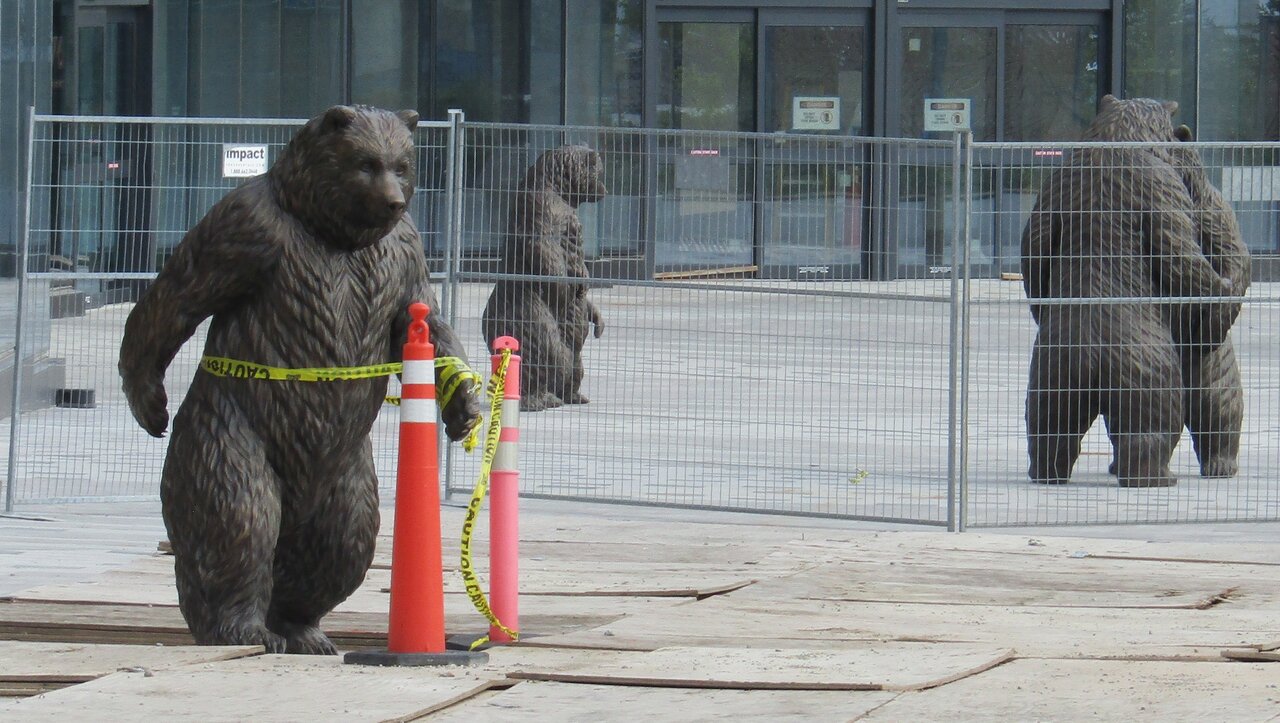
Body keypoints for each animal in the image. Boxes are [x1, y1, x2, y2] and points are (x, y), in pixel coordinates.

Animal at [118, 105, 482, 655]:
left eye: (401, 165)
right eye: (365, 162)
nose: (394, 201)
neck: (334, 232)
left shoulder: (403, 249)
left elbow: (420, 319)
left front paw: (464, 408)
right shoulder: (250, 229)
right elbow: (178, 295)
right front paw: (147, 401)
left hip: (345, 472)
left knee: (343, 538)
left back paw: (301, 628)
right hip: (231, 431)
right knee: (240, 518)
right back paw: (238, 627)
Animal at [481, 144, 607, 411]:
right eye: (598, 171)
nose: (604, 188)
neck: (559, 189)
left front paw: (596, 315)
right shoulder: (543, 207)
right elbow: (544, 250)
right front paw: (570, 288)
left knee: (574, 365)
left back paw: (571, 395)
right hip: (527, 316)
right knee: (542, 354)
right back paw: (538, 398)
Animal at [1020, 95, 1233, 487]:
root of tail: (1091, 360)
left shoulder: (1052, 189)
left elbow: (1035, 251)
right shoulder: (1161, 186)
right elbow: (1179, 251)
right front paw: (1217, 288)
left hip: (1054, 362)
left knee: (1050, 417)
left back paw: (1046, 471)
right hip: (1144, 361)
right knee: (1152, 416)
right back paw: (1155, 475)